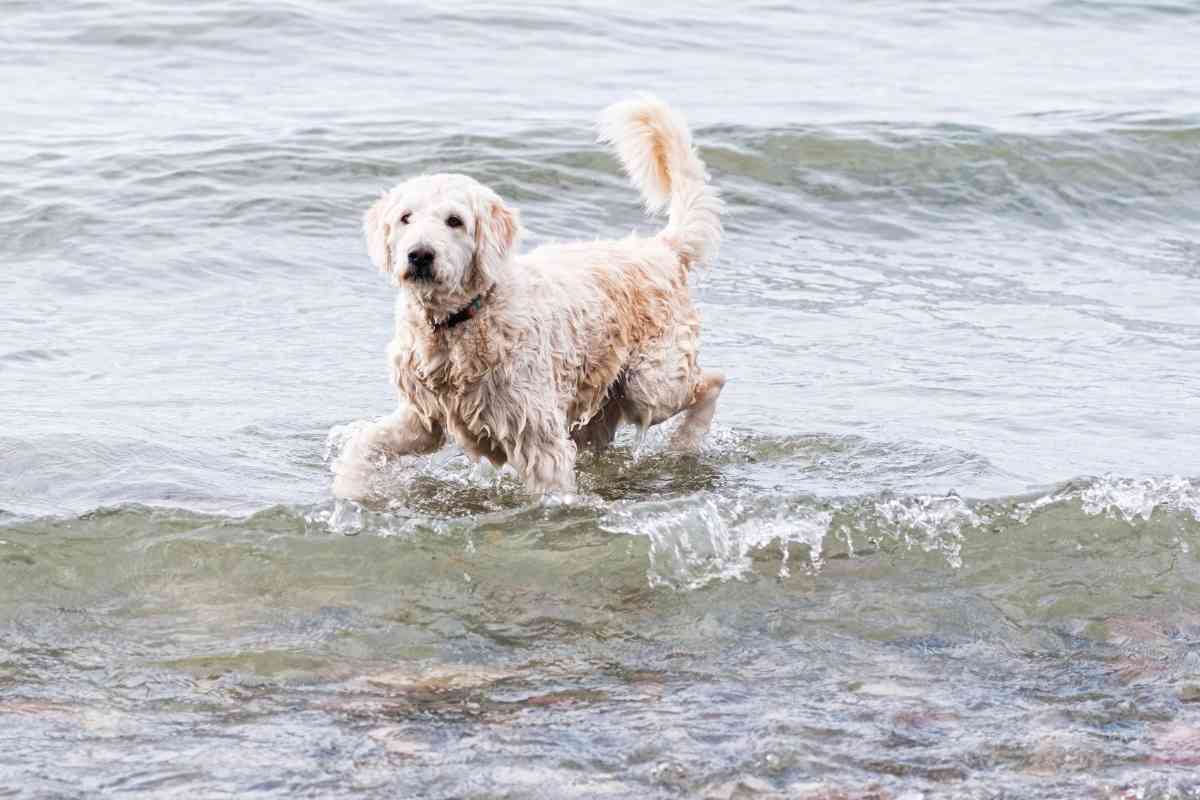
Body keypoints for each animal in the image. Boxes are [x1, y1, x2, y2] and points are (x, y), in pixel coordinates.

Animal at [333, 97, 720, 496]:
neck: (459, 322)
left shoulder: (537, 436)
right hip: (600, 408)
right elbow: (365, 444)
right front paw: (350, 487)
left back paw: (686, 441)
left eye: (455, 221)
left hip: (651, 383)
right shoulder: (422, 419)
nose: (420, 255)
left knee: (711, 383)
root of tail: (664, 248)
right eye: (405, 218)